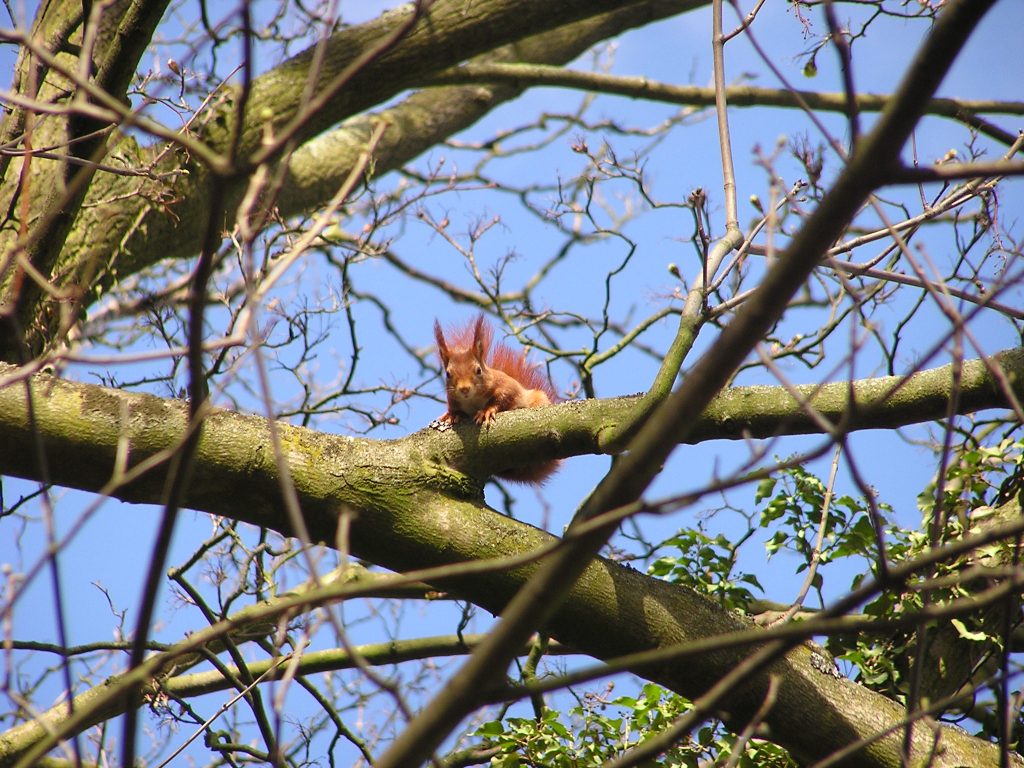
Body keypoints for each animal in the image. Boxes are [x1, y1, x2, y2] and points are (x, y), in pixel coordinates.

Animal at [434, 314, 559, 484]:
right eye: (447, 374)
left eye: (478, 370)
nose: (464, 389)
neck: (471, 400)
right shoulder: (453, 399)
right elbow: (454, 409)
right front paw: (452, 415)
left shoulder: (506, 385)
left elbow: (504, 397)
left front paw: (486, 411)